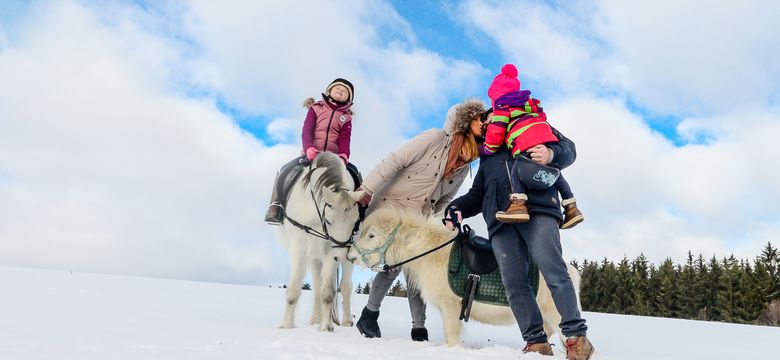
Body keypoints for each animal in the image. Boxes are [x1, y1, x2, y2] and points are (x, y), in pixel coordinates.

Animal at [278, 151, 362, 332]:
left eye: (355, 222)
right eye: (329, 221)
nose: (341, 255)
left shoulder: (331, 251)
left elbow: (328, 292)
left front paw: (325, 327)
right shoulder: (299, 248)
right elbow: (294, 290)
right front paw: (286, 326)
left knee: (345, 286)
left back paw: (346, 321)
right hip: (313, 256)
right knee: (317, 286)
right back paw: (315, 320)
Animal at [348, 208, 580, 346]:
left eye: (371, 235)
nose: (350, 256)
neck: (432, 252)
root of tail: (571, 270)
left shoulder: (451, 307)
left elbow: (451, 337)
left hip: (556, 314)